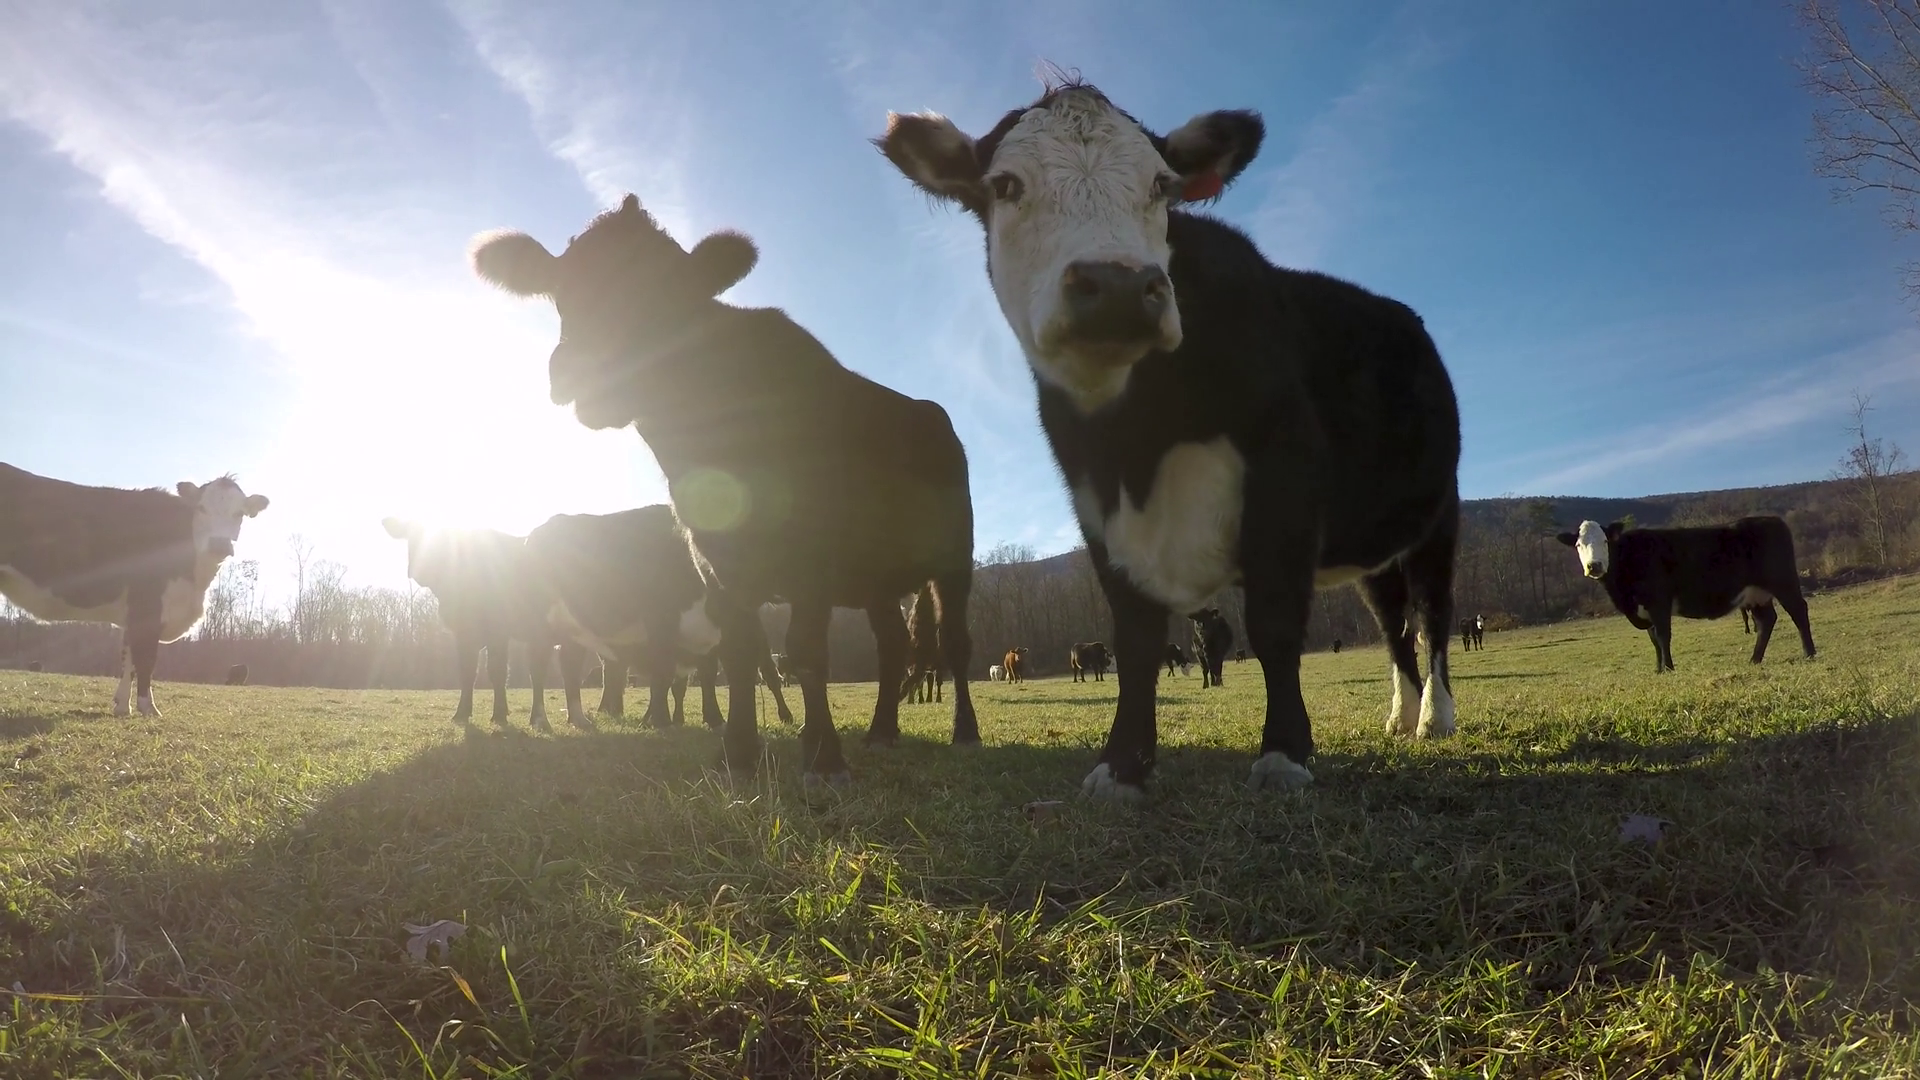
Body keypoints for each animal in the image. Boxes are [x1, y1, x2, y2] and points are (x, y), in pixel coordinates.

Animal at [0, 464, 270, 717]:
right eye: (201, 508)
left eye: (239, 513)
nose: (219, 544)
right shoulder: (148, 607)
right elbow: (145, 661)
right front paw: (148, 707)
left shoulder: (134, 614)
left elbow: (128, 660)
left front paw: (122, 705)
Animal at [524, 507, 794, 730]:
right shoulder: (659, 624)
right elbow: (662, 675)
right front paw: (660, 720)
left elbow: (703, 675)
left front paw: (713, 719)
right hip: (541, 624)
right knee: (540, 668)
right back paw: (541, 721)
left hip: (575, 631)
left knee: (573, 668)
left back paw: (582, 718)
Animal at [878, 78, 1464, 799]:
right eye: (1006, 184)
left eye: (1161, 184)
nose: (1120, 286)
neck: (1141, 439)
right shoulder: (1095, 501)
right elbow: (1134, 639)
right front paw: (1122, 762)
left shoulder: (1285, 471)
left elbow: (1273, 623)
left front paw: (1284, 753)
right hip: (1373, 550)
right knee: (1392, 624)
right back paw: (1400, 715)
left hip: (1438, 516)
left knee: (1432, 615)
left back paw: (1434, 716)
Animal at [1555, 517, 1816, 672]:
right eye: (1578, 545)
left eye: (1605, 541)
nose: (1594, 566)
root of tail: (1770, 519)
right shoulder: (1645, 609)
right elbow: (1653, 640)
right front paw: (1658, 669)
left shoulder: (1658, 602)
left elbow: (1663, 636)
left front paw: (1669, 668)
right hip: (1755, 594)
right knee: (1766, 621)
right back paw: (1754, 660)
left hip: (1784, 582)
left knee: (1798, 611)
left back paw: (1809, 653)